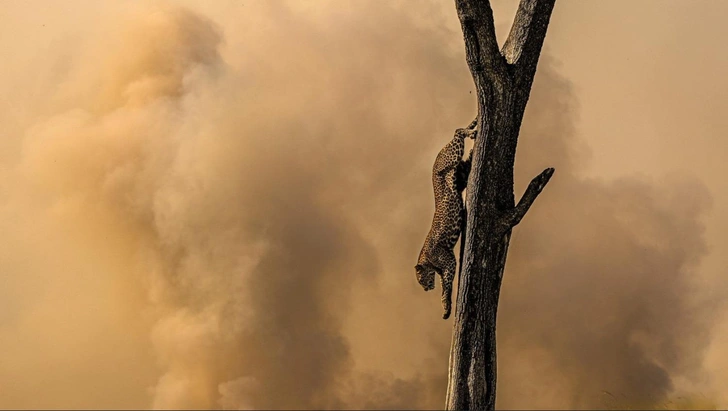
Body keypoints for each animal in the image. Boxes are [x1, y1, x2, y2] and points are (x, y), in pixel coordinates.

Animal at [416, 117, 478, 320]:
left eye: (421, 280)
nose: (426, 289)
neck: (426, 259)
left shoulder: (449, 261)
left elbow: (447, 286)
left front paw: (447, 303)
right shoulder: (445, 267)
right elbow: (444, 285)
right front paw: (446, 307)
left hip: (451, 157)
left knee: (457, 132)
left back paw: (471, 133)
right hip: (458, 173)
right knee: (466, 159)